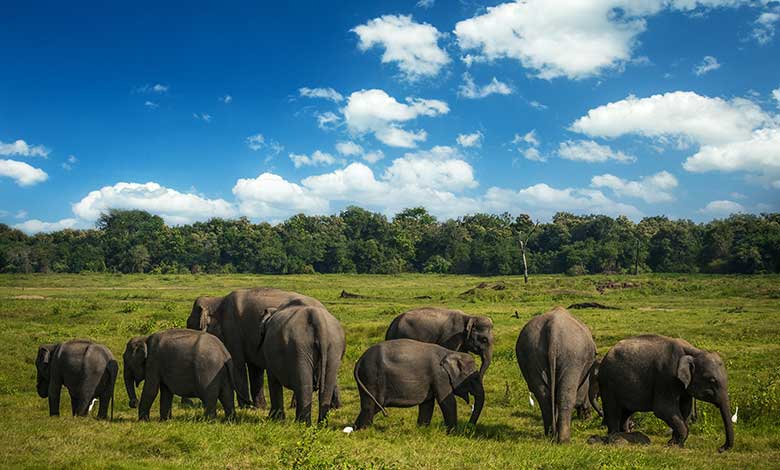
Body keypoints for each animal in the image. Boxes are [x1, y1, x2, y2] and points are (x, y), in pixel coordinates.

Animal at [186, 284, 322, 410]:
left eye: (190, 324)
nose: (188, 403)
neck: (216, 301)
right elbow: (255, 370)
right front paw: (260, 407)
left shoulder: (233, 330)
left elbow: (238, 365)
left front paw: (246, 407)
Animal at [352, 338, 482, 434]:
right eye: (475, 378)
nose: (469, 428)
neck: (450, 352)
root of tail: (359, 361)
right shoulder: (440, 376)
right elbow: (448, 402)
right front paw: (452, 433)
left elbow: (427, 404)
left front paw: (422, 429)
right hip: (371, 377)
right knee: (372, 405)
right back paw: (364, 431)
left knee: (371, 406)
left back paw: (355, 429)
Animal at [516, 306, 596, 442]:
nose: (587, 418)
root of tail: (553, 329)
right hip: (573, 357)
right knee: (566, 396)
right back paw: (564, 440)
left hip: (531, 354)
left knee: (543, 397)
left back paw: (551, 436)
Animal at [600, 334, 736, 452]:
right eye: (711, 380)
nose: (720, 449)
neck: (693, 352)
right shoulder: (666, 376)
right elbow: (663, 409)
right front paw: (674, 444)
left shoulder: (683, 385)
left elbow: (685, 409)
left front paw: (675, 443)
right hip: (608, 384)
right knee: (613, 410)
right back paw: (614, 438)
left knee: (627, 412)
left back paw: (626, 435)